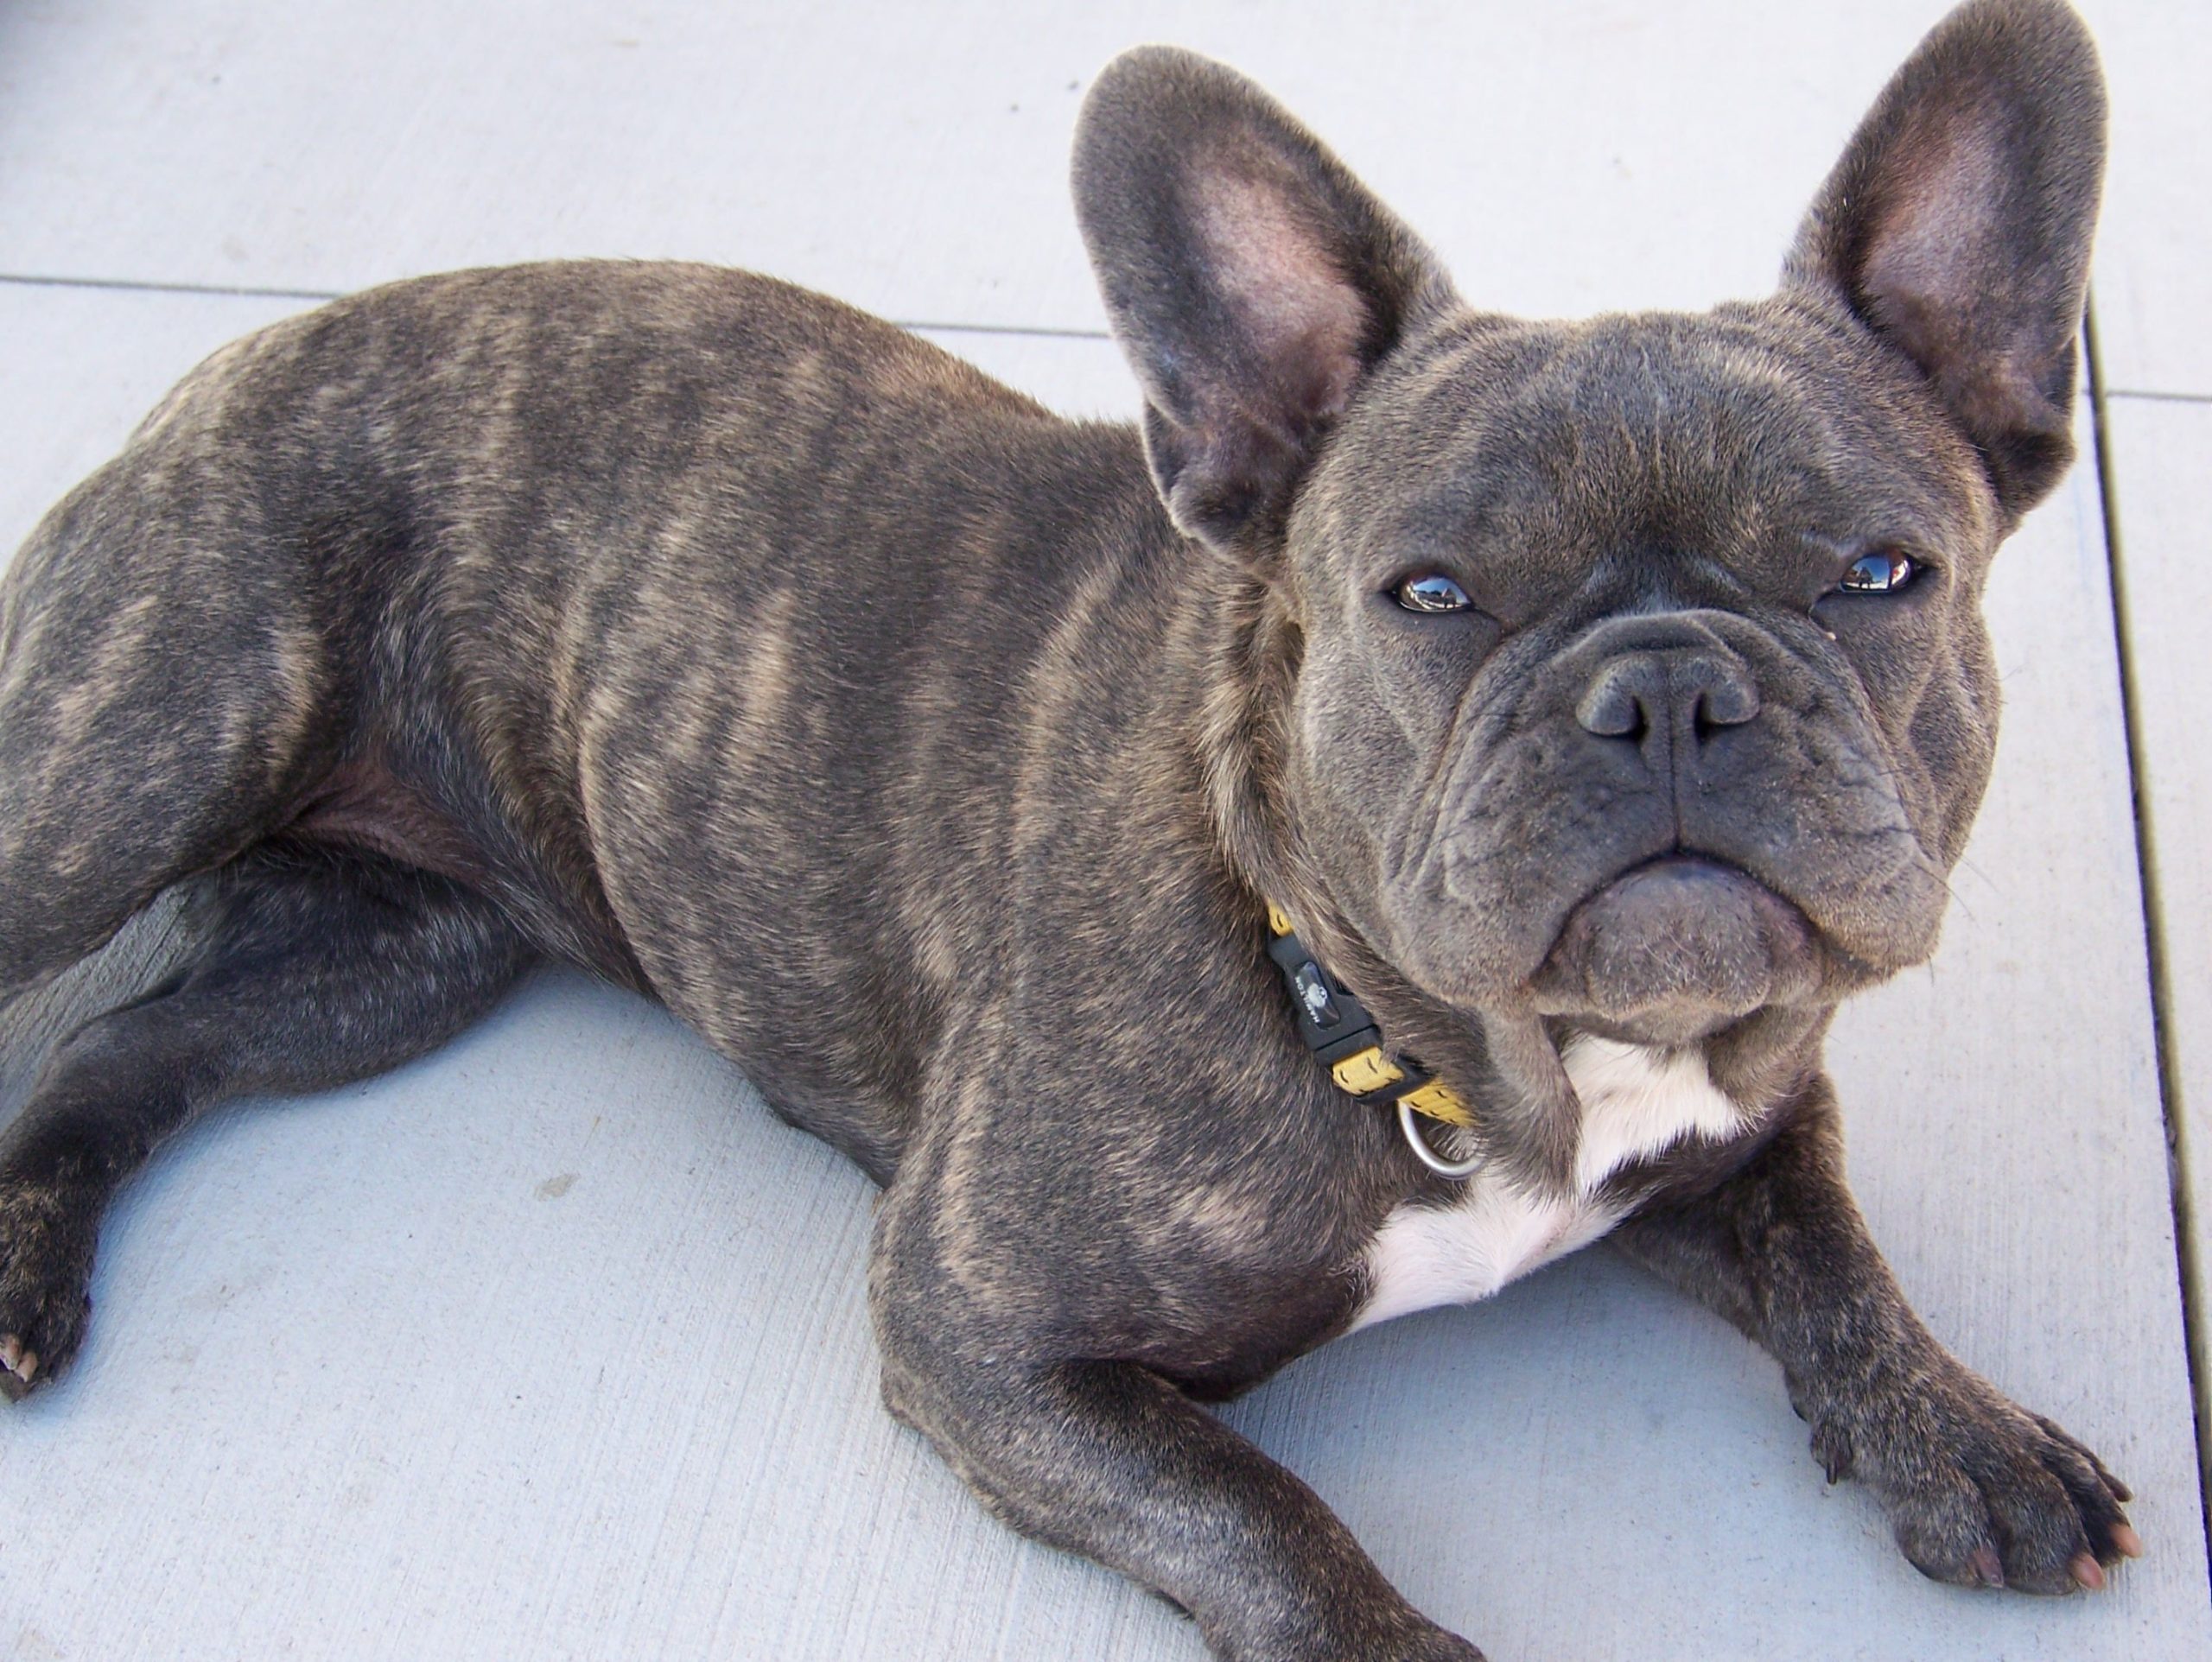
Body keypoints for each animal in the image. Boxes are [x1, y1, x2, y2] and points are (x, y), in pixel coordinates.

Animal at [0, 0, 2132, 1652]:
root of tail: (249, 347)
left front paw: (1966, 1429)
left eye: (1879, 572)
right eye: (1431, 594)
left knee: (135, 1046)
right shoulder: (983, 1333)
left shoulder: (1743, 1106)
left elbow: (1828, 1239)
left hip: (394, 959)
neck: (1453, 1068)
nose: (1668, 687)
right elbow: (1264, 1513)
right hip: (138, 755)